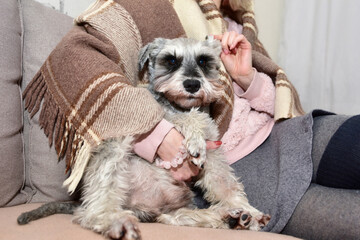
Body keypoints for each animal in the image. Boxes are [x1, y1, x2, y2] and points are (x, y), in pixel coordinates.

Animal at [16, 37, 270, 240]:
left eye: (203, 61)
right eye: (171, 60)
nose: (192, 84)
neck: (179, 105)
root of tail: (140, 207)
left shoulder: (215, 154)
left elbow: (225, 185)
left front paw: (249, 210)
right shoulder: (155, 117)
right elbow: (188, 119)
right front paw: (195, 139)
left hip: (173, 208)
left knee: (178, 217)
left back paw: (231, 217)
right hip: (116, 148)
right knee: (92, 207)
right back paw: (113, 221)